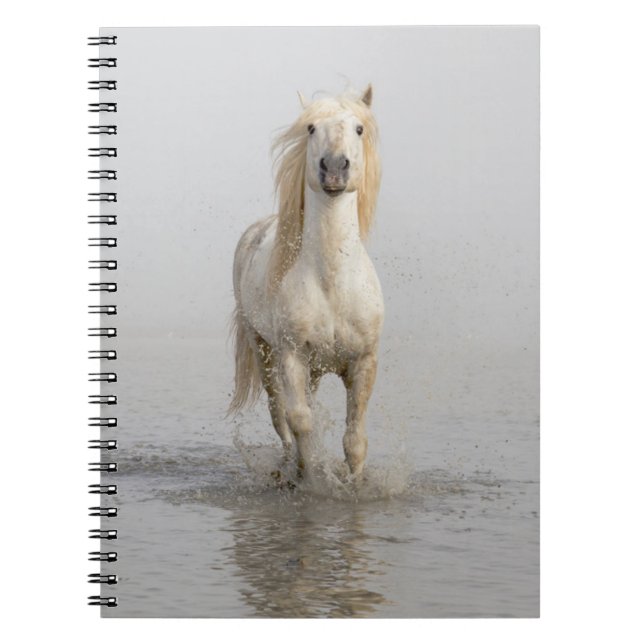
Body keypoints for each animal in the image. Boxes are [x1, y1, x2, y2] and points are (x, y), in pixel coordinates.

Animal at [229, 85, 383, 480]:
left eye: (359, 128)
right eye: (312, 128)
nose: (334, 168)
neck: (332, 282)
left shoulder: (363, 361)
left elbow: (354, 437)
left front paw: (354, 482)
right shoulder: (292, 356)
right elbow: (300, 420)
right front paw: (310, 476)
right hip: (263, 351)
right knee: (279, 415)